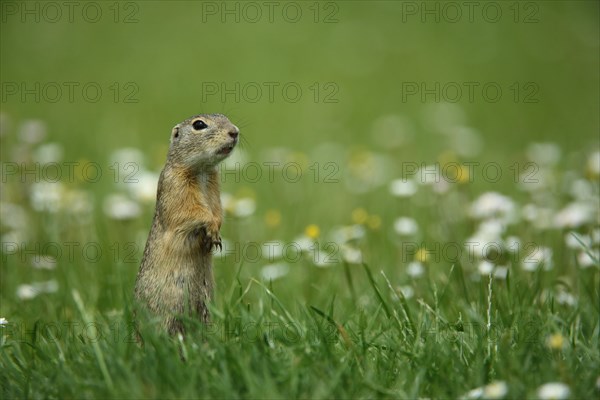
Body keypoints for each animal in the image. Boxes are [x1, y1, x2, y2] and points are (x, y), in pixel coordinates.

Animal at [136, 112, 239, 334]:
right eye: (199, 125)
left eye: (225, 117)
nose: (234, 131)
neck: (202, 170)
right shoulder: (177, 188)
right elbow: (191, 212)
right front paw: (211, 229)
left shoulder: (214, 189)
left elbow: (217, 210)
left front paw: (216, 234)